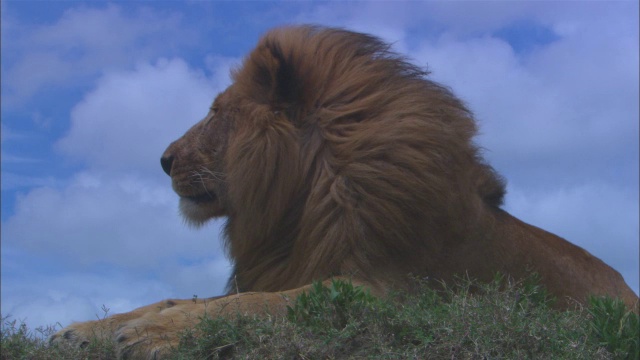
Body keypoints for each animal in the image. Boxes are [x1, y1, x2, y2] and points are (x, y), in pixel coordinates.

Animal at [48, 25, 636, 358]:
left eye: (217, 113)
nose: (164, 159)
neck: (304, 198)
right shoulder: (291, 266)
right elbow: (186, 298)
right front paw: (87, 330)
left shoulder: (391, 292)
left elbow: (256, 307)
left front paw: (150, 334)